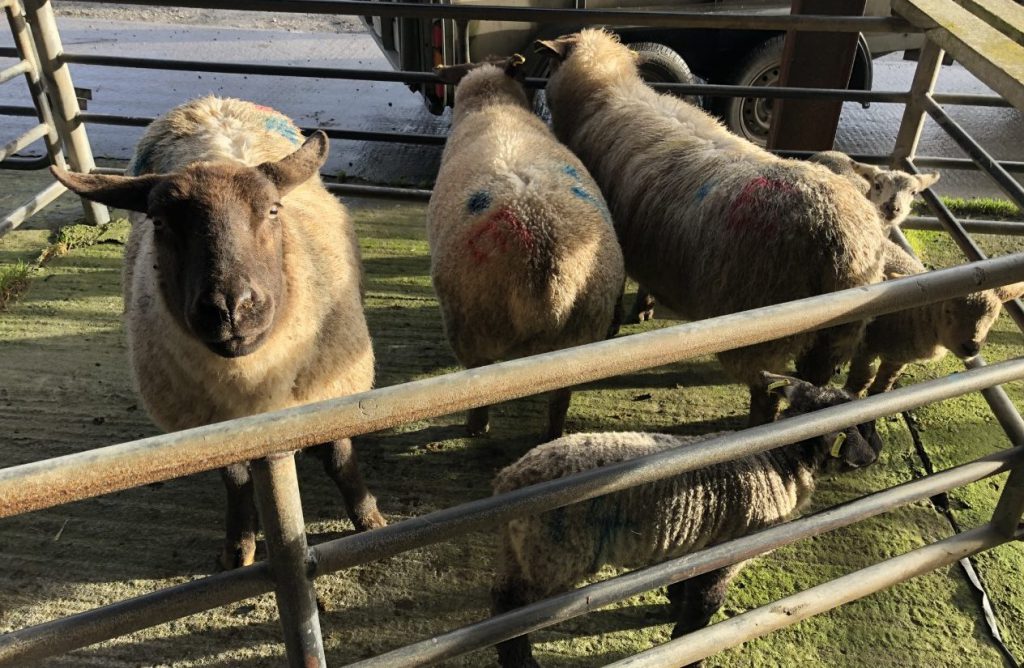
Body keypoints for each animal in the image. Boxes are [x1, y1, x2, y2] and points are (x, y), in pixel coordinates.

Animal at [51, 96, 385, 569]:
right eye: (159, 222)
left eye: (273, 210)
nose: (231, 308)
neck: (252, 381)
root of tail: (212, 101)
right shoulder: (211, 425)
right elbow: (236, 481)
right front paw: (239, 547)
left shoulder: (334, 391)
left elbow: (340, 460)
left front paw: (368, 519)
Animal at [428, 56, 625, 439]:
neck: (494, 106)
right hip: (579, 341)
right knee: (560, 398)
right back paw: (553, 434)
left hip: (472, 328)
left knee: (480, 389)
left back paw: (476, 428)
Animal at [491, 373, 882, 668]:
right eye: (865, 426)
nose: (879, 450)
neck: (779, 460)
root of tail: (510, 479)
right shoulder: (726, 555)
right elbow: (704, 608)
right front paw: (690, 649)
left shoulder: (699, 543)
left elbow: (685, 583)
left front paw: (674, 600)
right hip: (553, 555)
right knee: (509, 612)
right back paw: (522, 663)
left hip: (523, 550)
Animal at [536, 29, 887, 425]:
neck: (608, 90)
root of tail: (840, 241)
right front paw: (644, 307)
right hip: (835, 333)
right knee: (815, 382)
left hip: (761, 330)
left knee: (767, 392)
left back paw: (758, 428)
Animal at [845, 242, 1024, 395]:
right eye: (948, 310)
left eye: (994, 318)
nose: (971, 347)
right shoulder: (867, 344)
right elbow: (860, 380)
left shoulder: (898, 358)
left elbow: (882, 386)